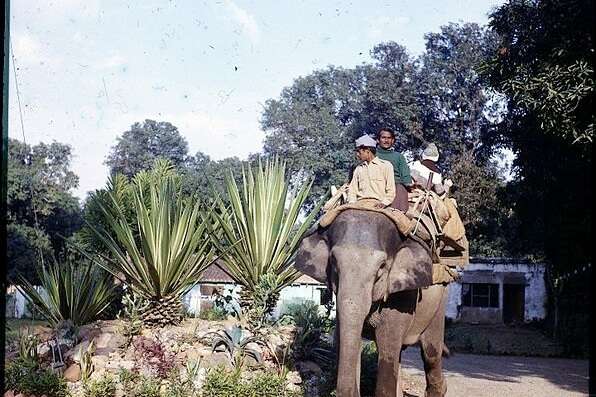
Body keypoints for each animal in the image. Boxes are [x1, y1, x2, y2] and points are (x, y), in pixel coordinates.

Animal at [298, 209, 448, 394]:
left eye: (382, 265)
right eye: (333, 260)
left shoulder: (402, 297)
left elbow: (387, 347)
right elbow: (347, 343)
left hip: (440, 302)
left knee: (430, 352)